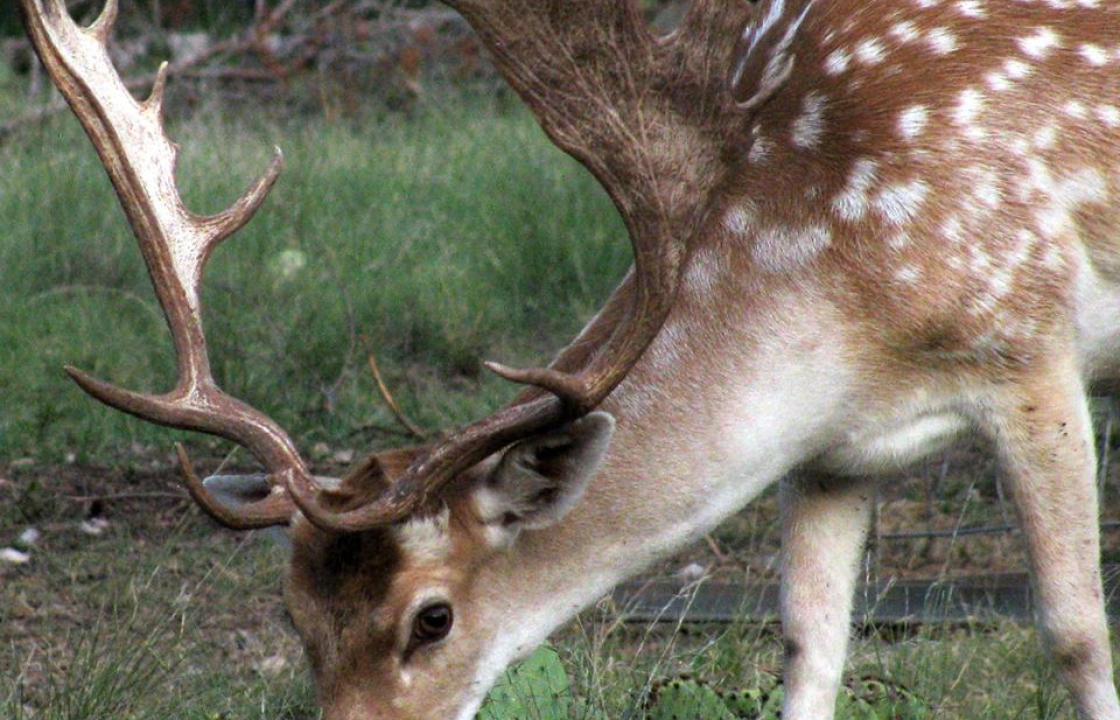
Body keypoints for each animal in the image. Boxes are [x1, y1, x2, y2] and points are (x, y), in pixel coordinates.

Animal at [19, 0, 1120, 716]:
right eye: (293, 617)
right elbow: (809, 653)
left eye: (431, 619)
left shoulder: (1030, 349)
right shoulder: (834, 455)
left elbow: (1075, 632)